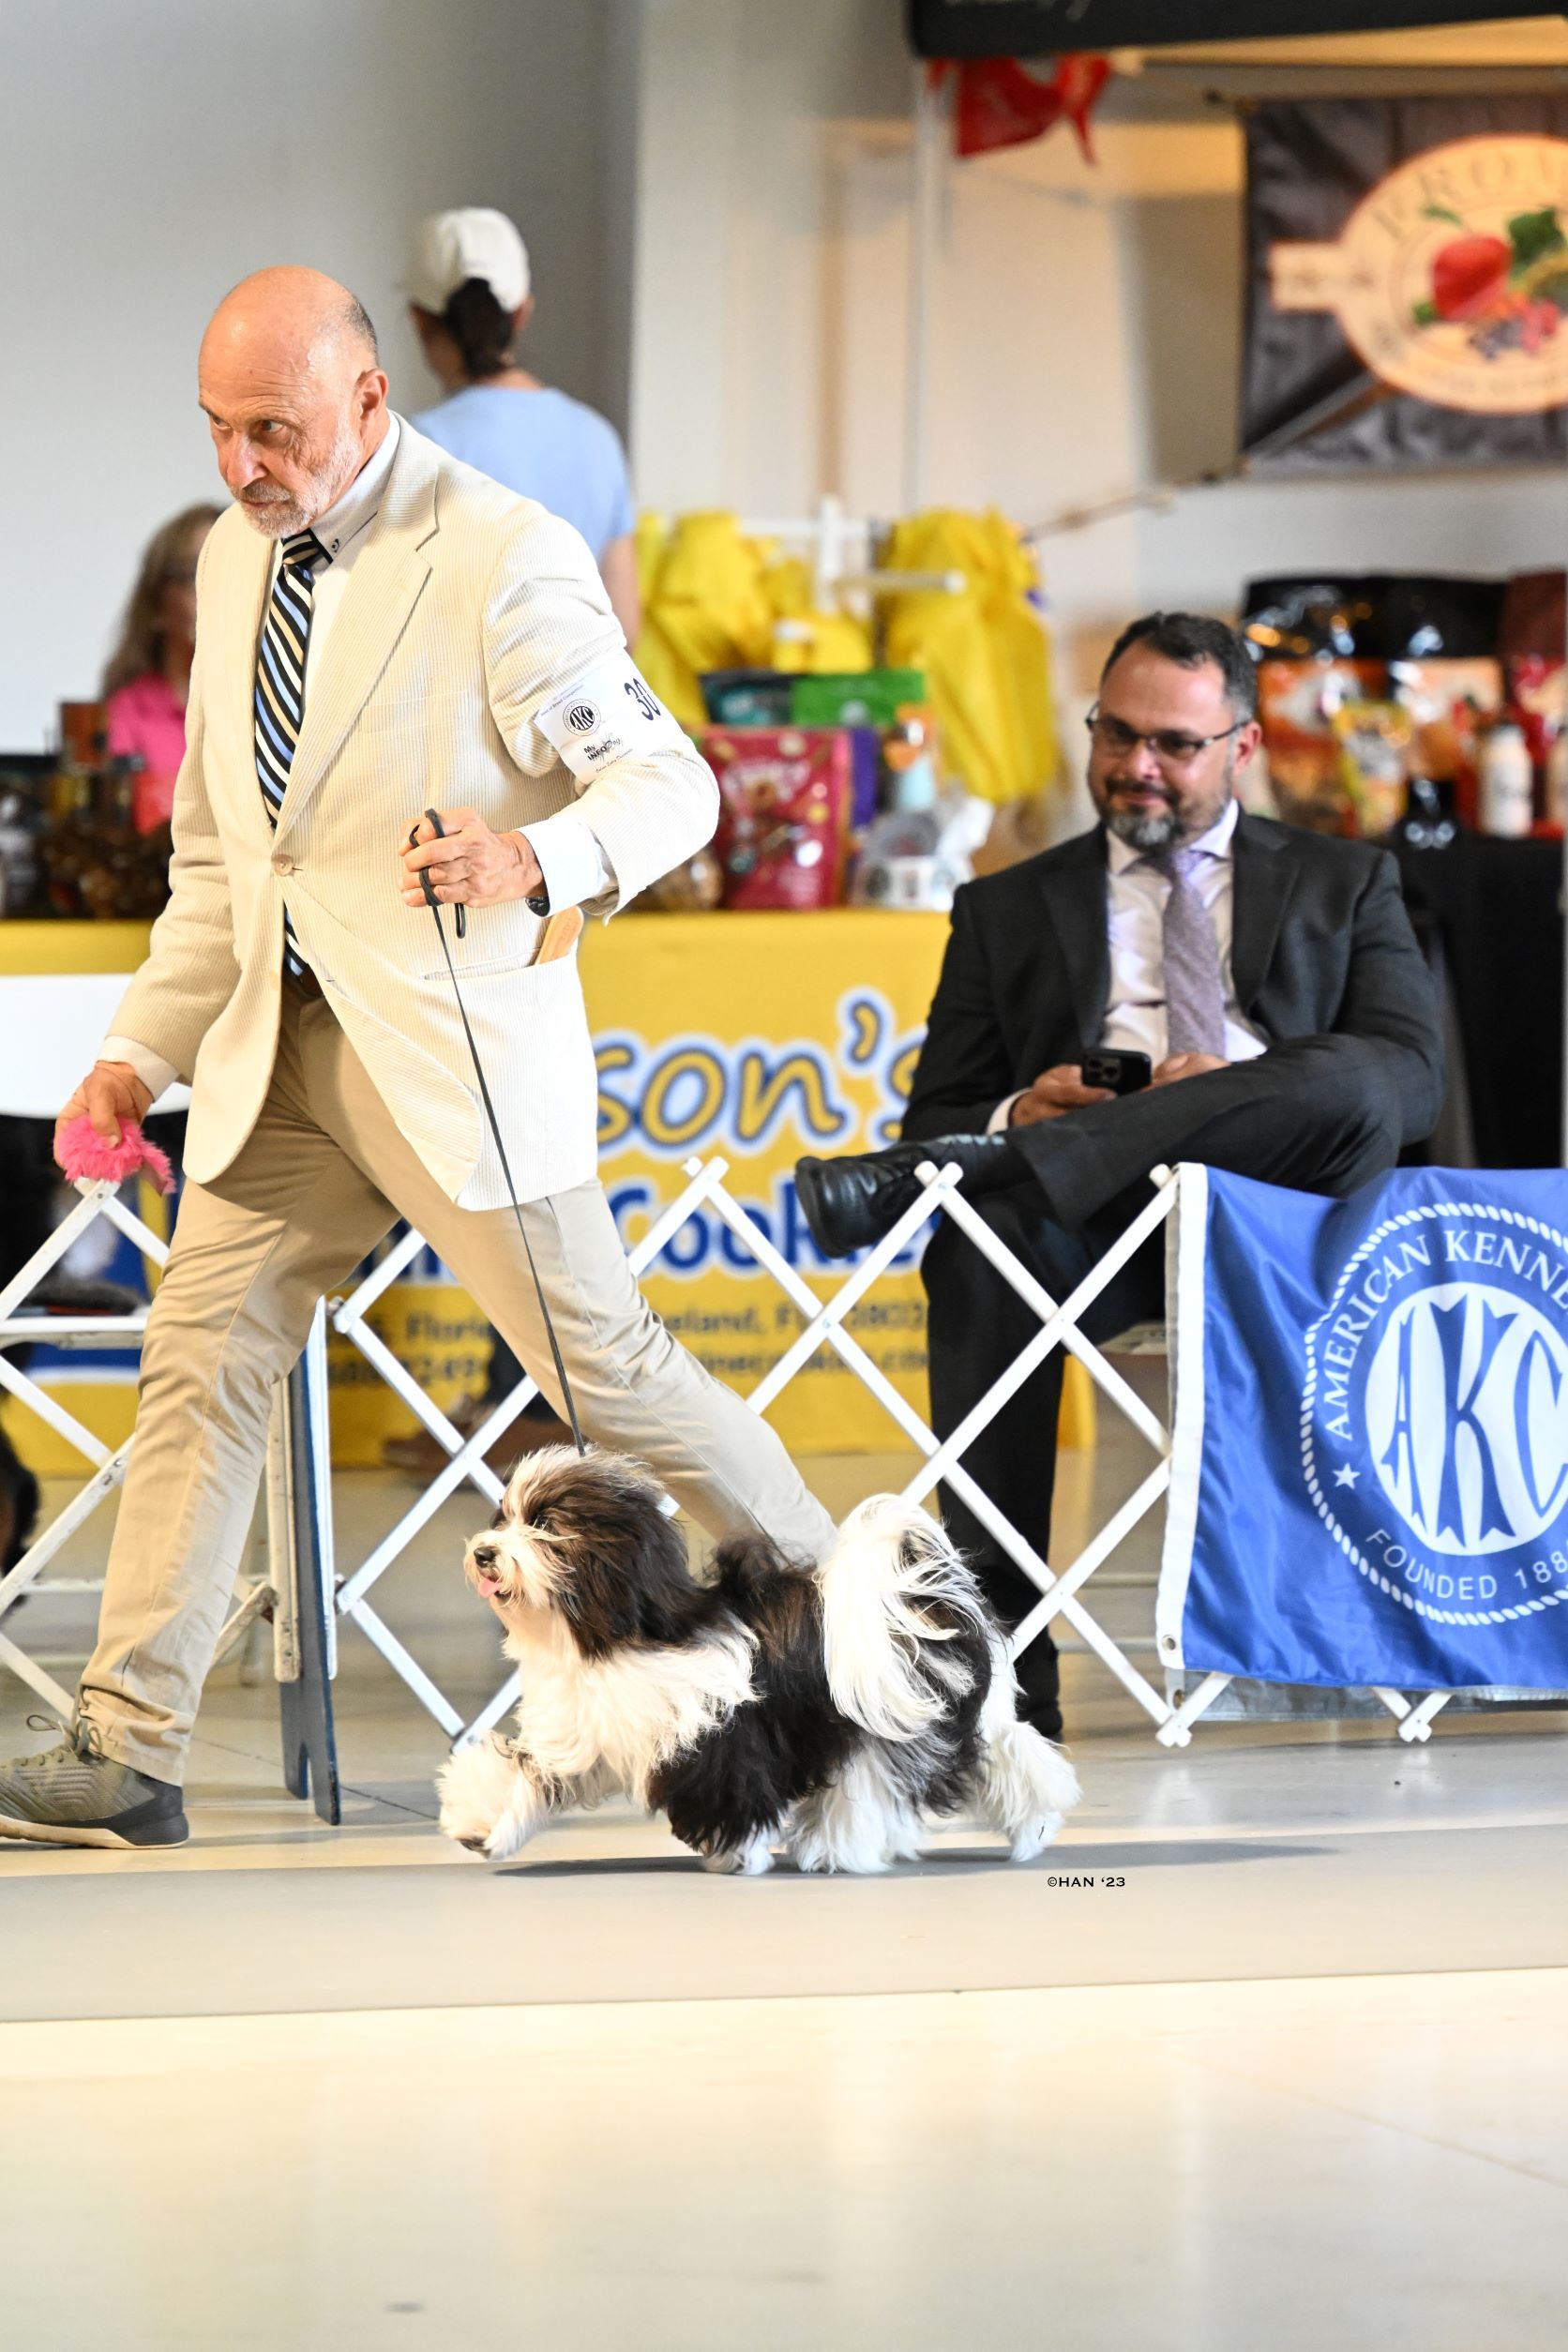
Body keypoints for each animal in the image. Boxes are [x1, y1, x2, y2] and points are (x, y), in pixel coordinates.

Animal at [436, 1446, 1080, 1874]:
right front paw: (480, 1823)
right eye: (503, 1519)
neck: (618, 1632)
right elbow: (527, 1777)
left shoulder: (716, 1735)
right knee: (996, 1758)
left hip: (886, 1721)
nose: (485, 1552)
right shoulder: (586, 1734)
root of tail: (910, 1602)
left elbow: (732, 1792)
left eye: (545, 1524)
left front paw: (736, 1856)